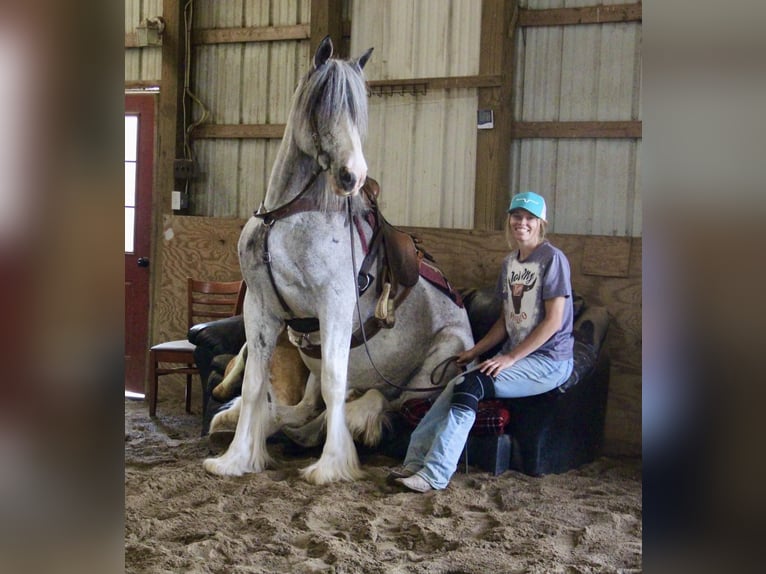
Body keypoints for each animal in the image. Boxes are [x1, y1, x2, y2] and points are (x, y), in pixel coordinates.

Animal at [201, 37, 474, 486]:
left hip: (438, 361)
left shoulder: (335, 306)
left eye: (356, 110)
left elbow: (334, 383)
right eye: (320, 105)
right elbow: (255, 382)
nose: (353, 176)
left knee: (384, 400)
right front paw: (236, 458)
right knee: (306, 406)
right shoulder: (260, 308)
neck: (287, 218)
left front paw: (331, 465)